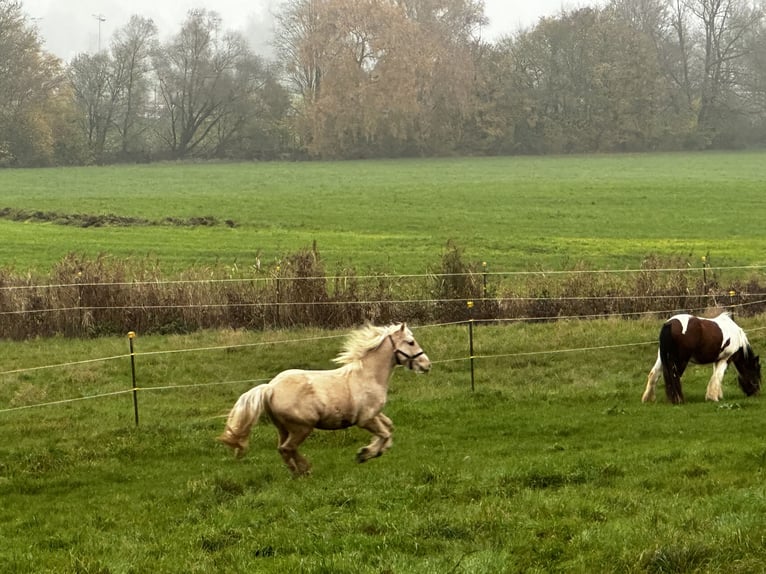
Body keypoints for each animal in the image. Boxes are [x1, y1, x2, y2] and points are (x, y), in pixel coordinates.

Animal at [219, 324, 432, 476]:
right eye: (411, 342)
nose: (426, 365)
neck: (368, 376)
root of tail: (270, 388)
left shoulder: (374, 414)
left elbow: (389, 428)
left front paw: (374, 451)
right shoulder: (365, 419)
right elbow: (385, 434)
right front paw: (365, 454)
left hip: (283, 428)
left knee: (283, 449)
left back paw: (298, 471)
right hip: (302, 427)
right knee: (288, 448)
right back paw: (304, 470)